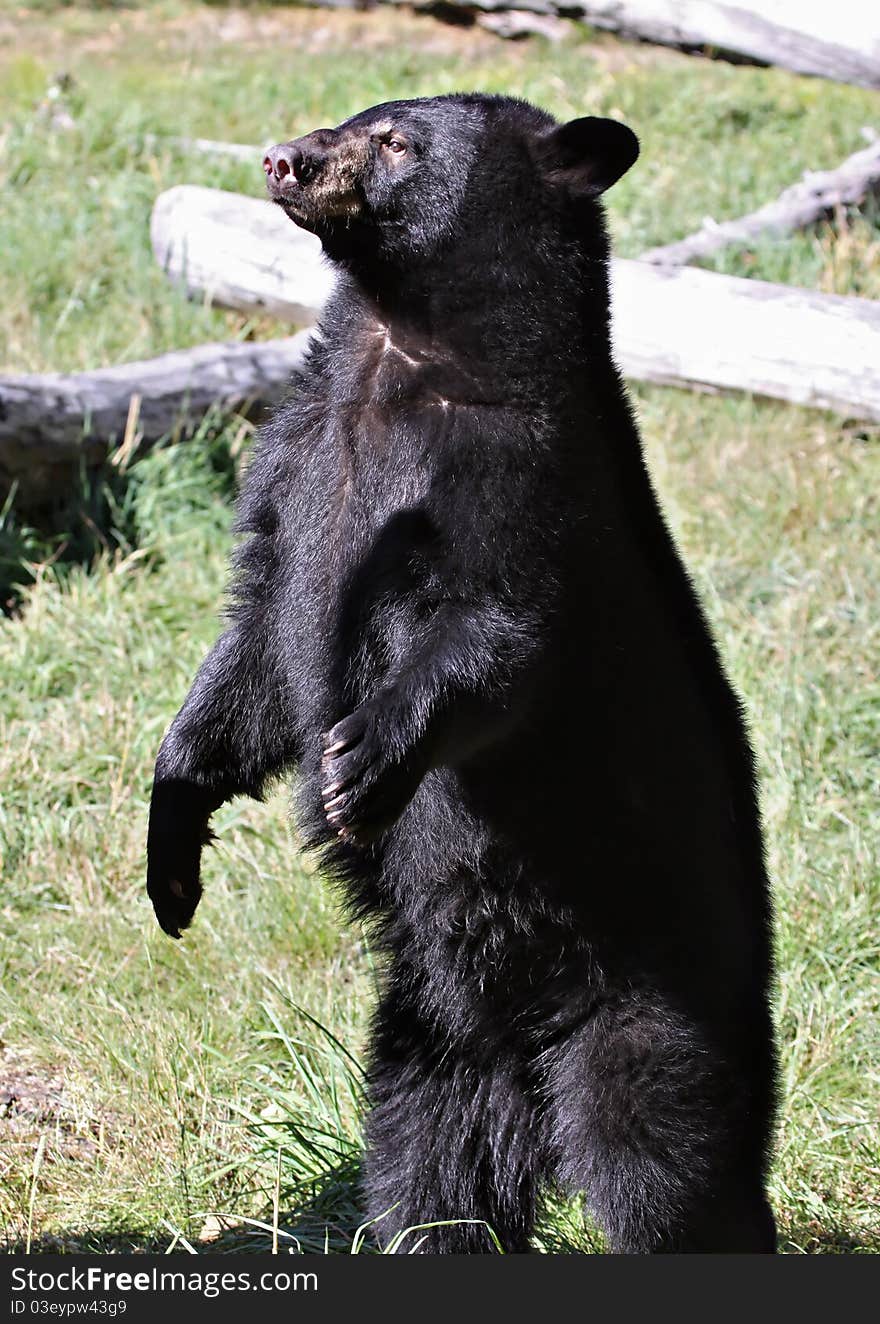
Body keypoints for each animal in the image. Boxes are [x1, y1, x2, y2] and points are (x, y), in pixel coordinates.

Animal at [145, 90, 778, 1249]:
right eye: (357, 113)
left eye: (398, 140)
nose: (284, 159)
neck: (399, 353)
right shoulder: (295, 465)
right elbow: (254, 649)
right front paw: (173, 848)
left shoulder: (521, 472)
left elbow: (499, 633)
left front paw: (360, 762)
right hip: (430, 1031)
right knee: (431, 1163)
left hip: (653, 992)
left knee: (667, 1161)